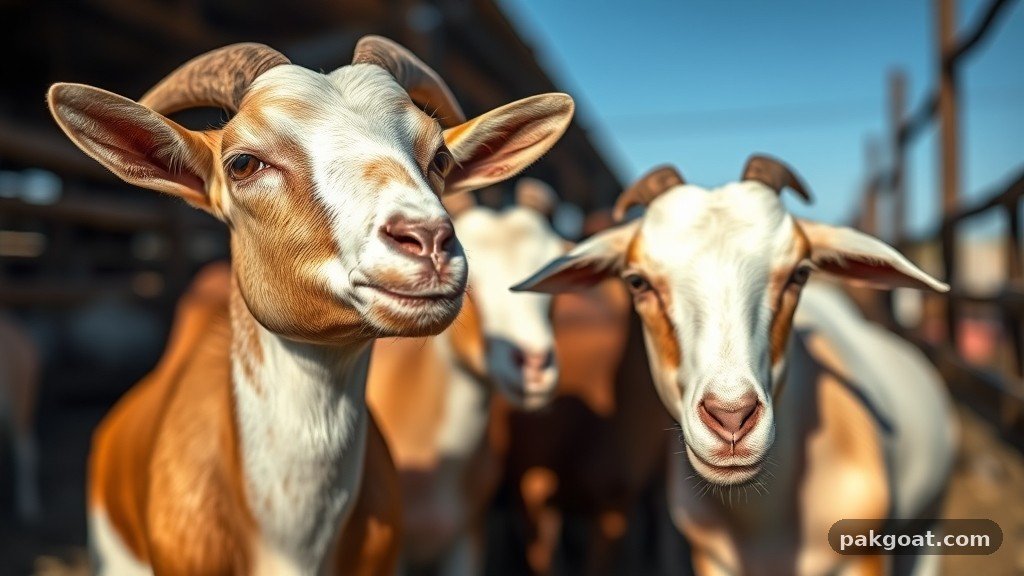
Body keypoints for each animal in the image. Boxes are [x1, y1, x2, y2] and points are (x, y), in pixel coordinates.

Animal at [514, 156, 956, 575]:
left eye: (800, 273)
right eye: (637, 281)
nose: (731, 416)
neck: (764, 528)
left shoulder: (865, 556)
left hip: (928, 529)